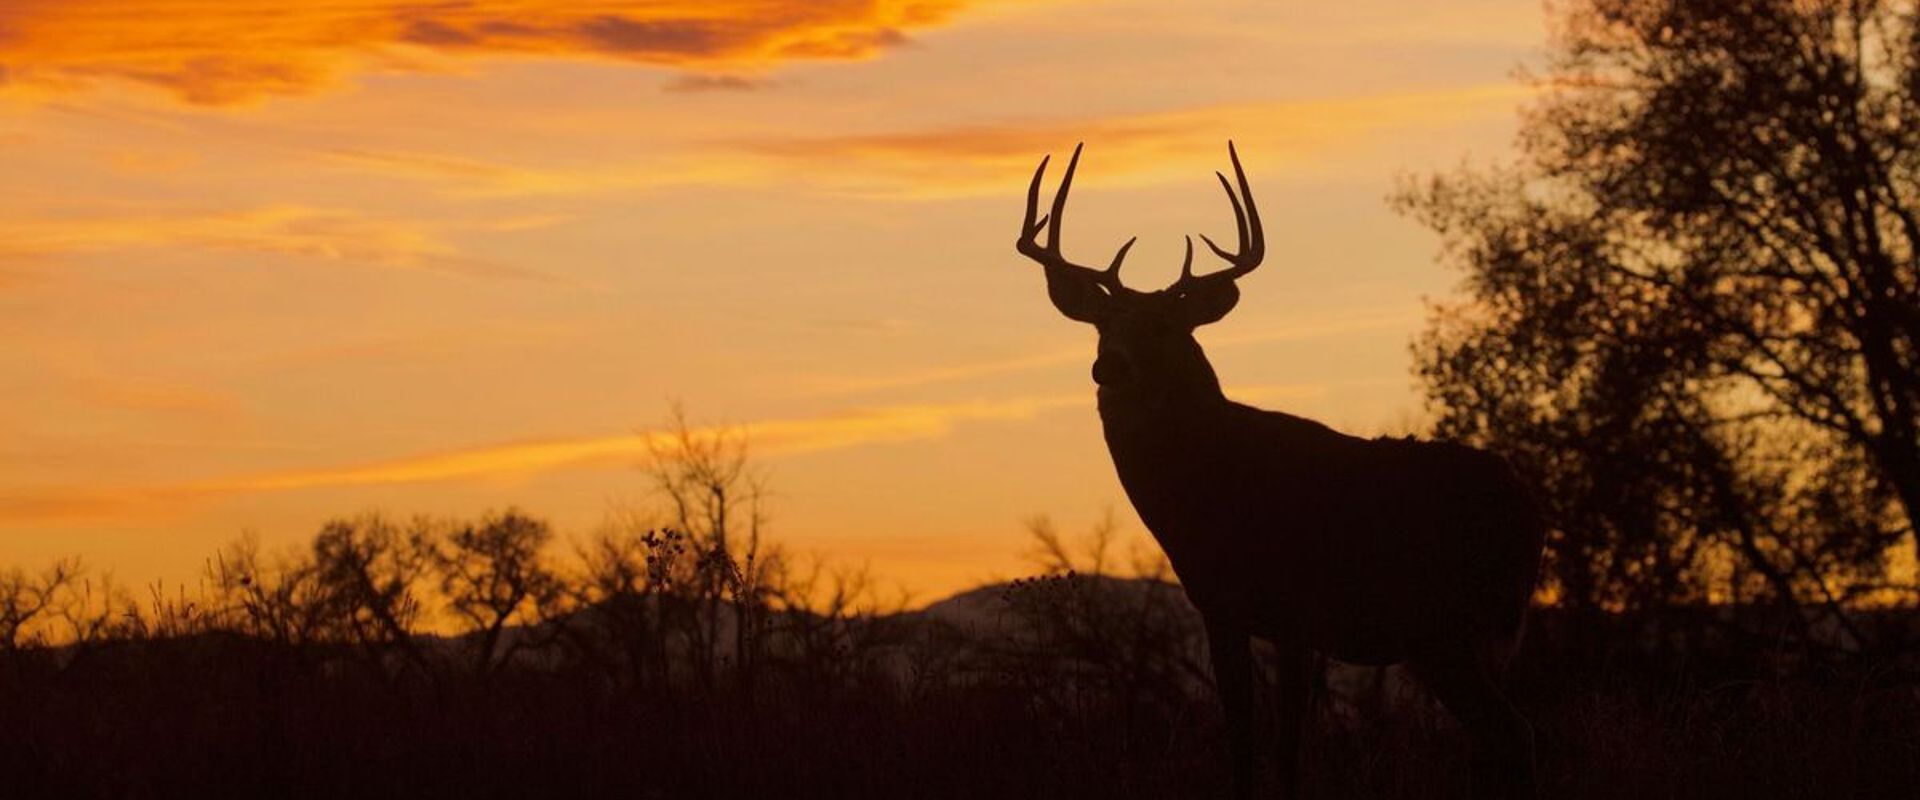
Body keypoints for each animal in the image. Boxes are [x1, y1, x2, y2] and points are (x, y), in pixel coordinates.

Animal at [1013, 142, 1546, 799]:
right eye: (1102, 324)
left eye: (1163, 326)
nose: (1108, 366)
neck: (1205, 486)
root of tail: (1529, 512)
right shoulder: (1234, 610)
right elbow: (1254, 742)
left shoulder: (1283, 609)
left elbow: (1277, 746)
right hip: (1469, 636)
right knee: (1491, 740)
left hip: (1446, 623)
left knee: (1512, 733)